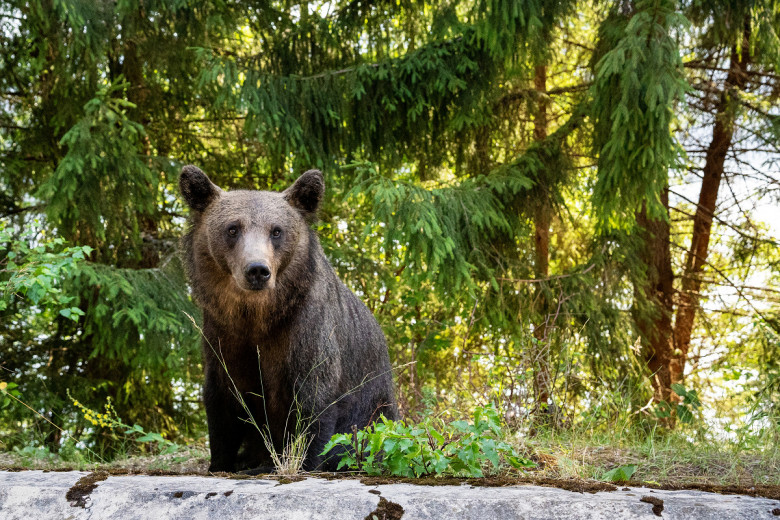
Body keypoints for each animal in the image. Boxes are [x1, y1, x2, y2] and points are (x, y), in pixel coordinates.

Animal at [177, 166, 396, 472]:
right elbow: (223, 400)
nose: (257, 270)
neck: (259, 316)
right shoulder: (223, 334)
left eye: (276, 231)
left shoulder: (305, 332)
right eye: (232, 228)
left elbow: (313, 403)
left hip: (374, 411)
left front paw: (303, 461)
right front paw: (220, 462)